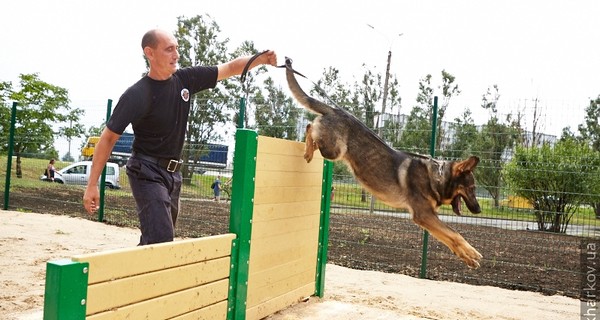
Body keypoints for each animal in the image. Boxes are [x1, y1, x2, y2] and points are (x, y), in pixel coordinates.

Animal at [284, 57, 482, 268]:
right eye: (472, 188)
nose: (478, 210)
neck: (437, 177)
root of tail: (336, 109)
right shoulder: (424, 215)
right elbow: (455, 234)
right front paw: (473, 253)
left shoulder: (428, 218)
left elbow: (449, 238)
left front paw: (468, 258)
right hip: (335, 151)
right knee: (310, 126)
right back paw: (308, 151)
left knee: (311, 126)